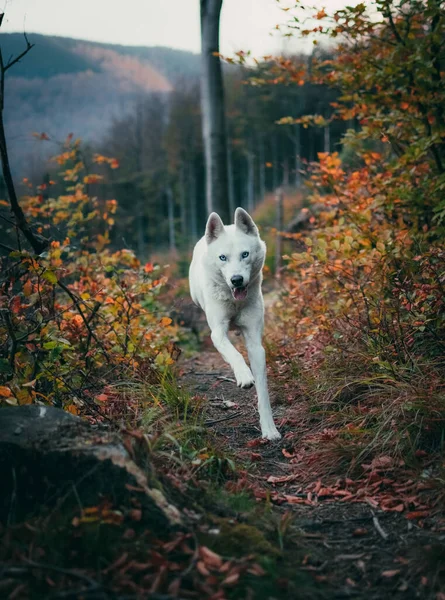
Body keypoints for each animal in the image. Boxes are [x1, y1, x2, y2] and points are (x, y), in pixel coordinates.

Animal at [188, 207, 280, 440]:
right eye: (223, 258)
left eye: (244, 254)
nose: (236, 280)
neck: (235, 301)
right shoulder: (217, 333)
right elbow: (234, 354)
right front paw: (244, 375)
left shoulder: (255, 344)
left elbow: (263, 392)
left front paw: (269, 429)